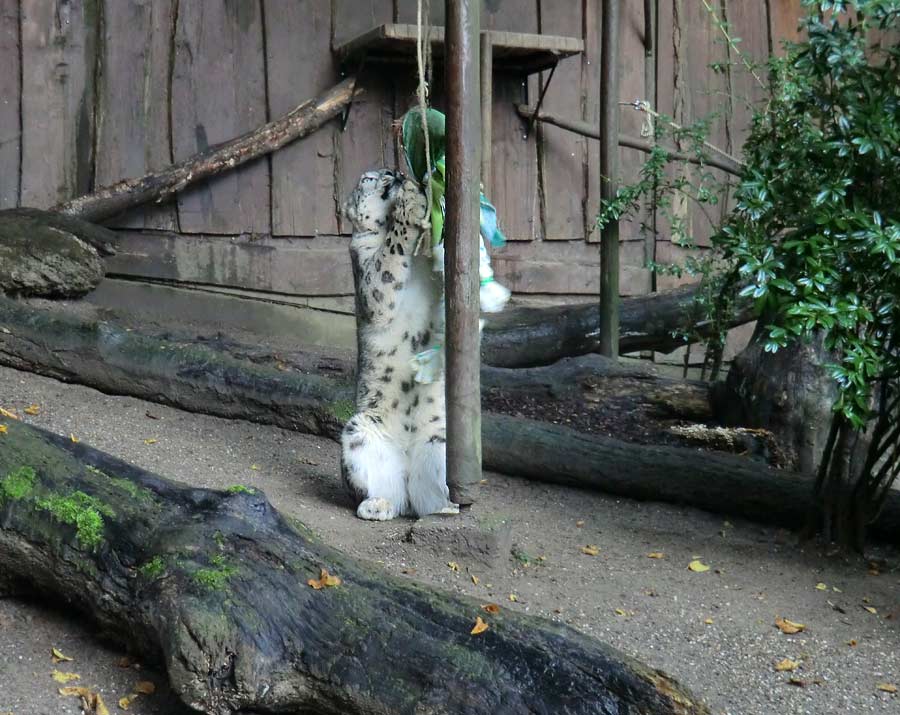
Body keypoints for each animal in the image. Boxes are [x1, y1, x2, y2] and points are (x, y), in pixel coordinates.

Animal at [338, 171, 458, 524]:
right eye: (369, 178)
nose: (397, 174)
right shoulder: (367, 269)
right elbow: (387, 263)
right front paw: (412, 205)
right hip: (359, 434)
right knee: (385, 492)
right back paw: (377, 505)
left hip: (440, 445)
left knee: (426, 499)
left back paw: (446, 507)